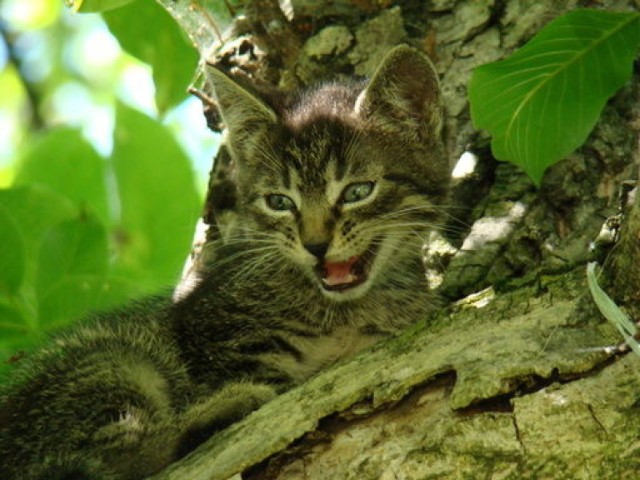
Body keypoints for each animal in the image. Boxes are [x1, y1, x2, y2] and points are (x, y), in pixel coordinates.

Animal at [0, 45, 450, 480]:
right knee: (118, 455)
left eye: (358, 191)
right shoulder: (218, 340)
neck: (344, 310)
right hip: (114, 359)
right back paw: (220, 409)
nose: (316, 245)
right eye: (279, 202)